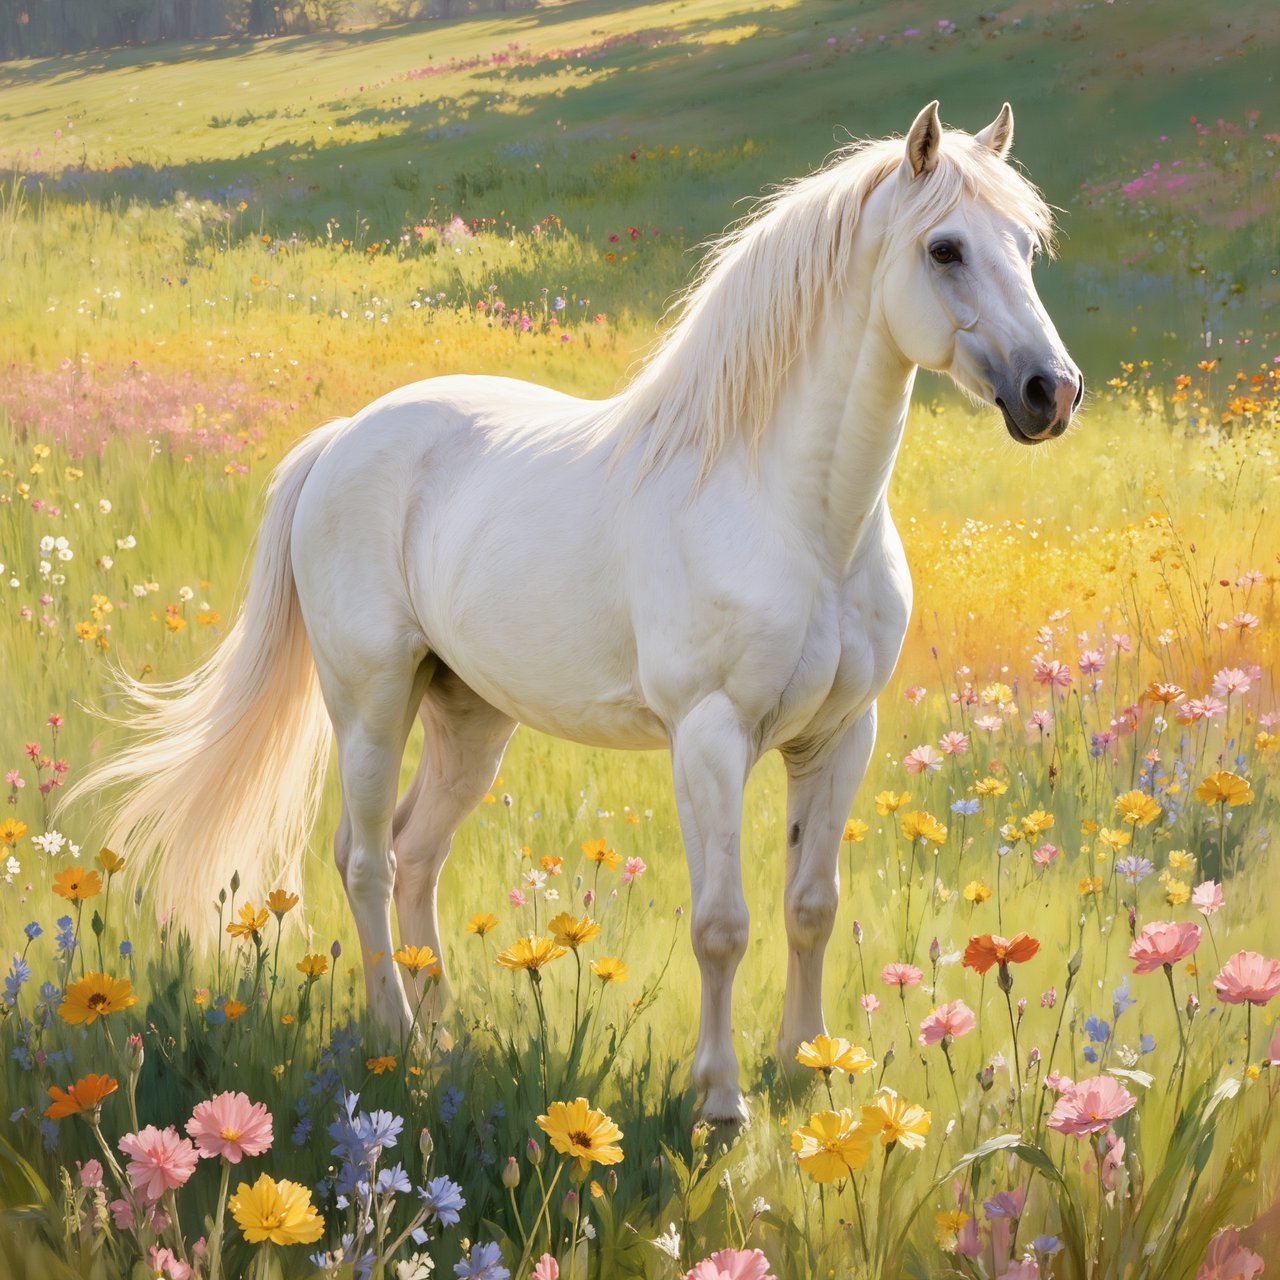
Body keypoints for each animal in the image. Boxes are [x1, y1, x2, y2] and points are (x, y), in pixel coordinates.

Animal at [70, 102, 1082, 1124]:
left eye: (1027, 245)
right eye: (945, 248)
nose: (1053, 392)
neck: (793, 515)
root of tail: (344, 438)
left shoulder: (839, 735)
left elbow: (810, 907)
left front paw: (807, 1066)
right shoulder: (709, 738)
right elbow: (723, 925)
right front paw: (719, 1102)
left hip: (470, 716)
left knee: (415, 853)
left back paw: (445, 1034)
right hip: (371, 701)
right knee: (364, 860)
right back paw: (399, 1039)